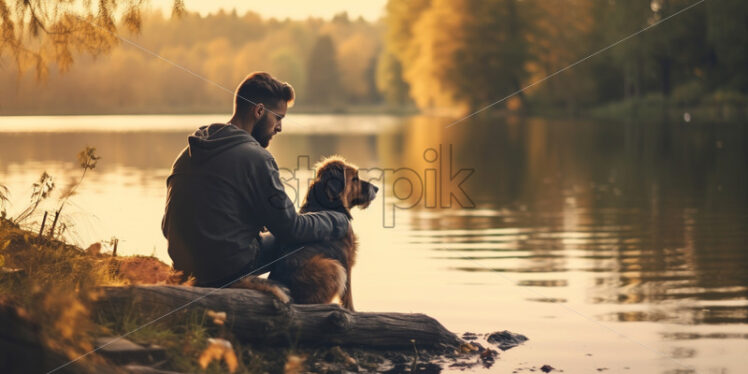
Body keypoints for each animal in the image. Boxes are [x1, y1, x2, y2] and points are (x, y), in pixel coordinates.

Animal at [266, 155, 376, 310]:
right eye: (355, 178)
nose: (377, 188)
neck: (325, 204)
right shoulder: (346, 259)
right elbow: (348, 295)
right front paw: (352, 311)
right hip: (331, 266)